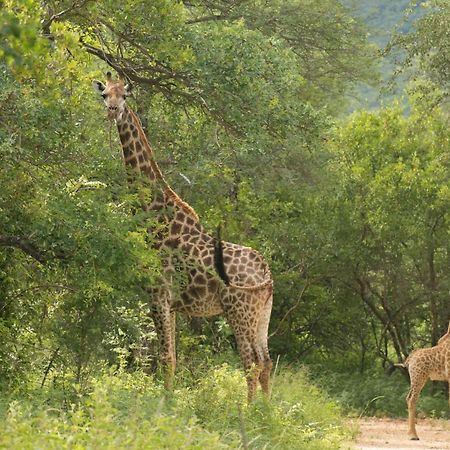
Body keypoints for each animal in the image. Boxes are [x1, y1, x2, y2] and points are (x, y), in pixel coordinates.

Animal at [92, 74, 272, 400]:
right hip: (262, 313)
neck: (153, 211)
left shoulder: (157, 293)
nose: (112, 111)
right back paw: (267, 410)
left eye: (124, 95)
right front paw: (170, 399)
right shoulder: (173, 304)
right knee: (265, 361)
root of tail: (266, 272)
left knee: (250, 361)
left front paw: (166, 404)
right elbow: (172, 357)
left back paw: (249, 410)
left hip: (239, 311)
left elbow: (165, 357)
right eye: (105, 95)